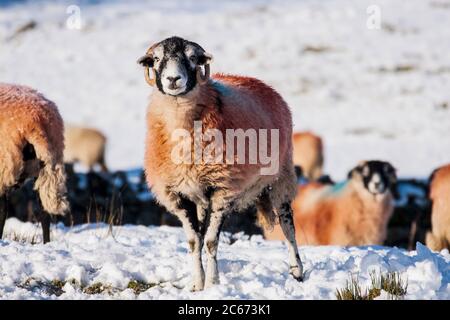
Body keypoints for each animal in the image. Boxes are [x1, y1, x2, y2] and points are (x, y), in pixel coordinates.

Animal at [139, 36, 304, 292]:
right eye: (156, 58)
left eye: (193, 57)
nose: (173, 79)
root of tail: (259, 82)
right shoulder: (179, 194)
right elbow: (194, 241)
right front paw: (197, 285)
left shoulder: (223, 189)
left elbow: (210, 241)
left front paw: (213, 283)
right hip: (202, 197)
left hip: (281, 175)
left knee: (288, 225)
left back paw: (297, 270)